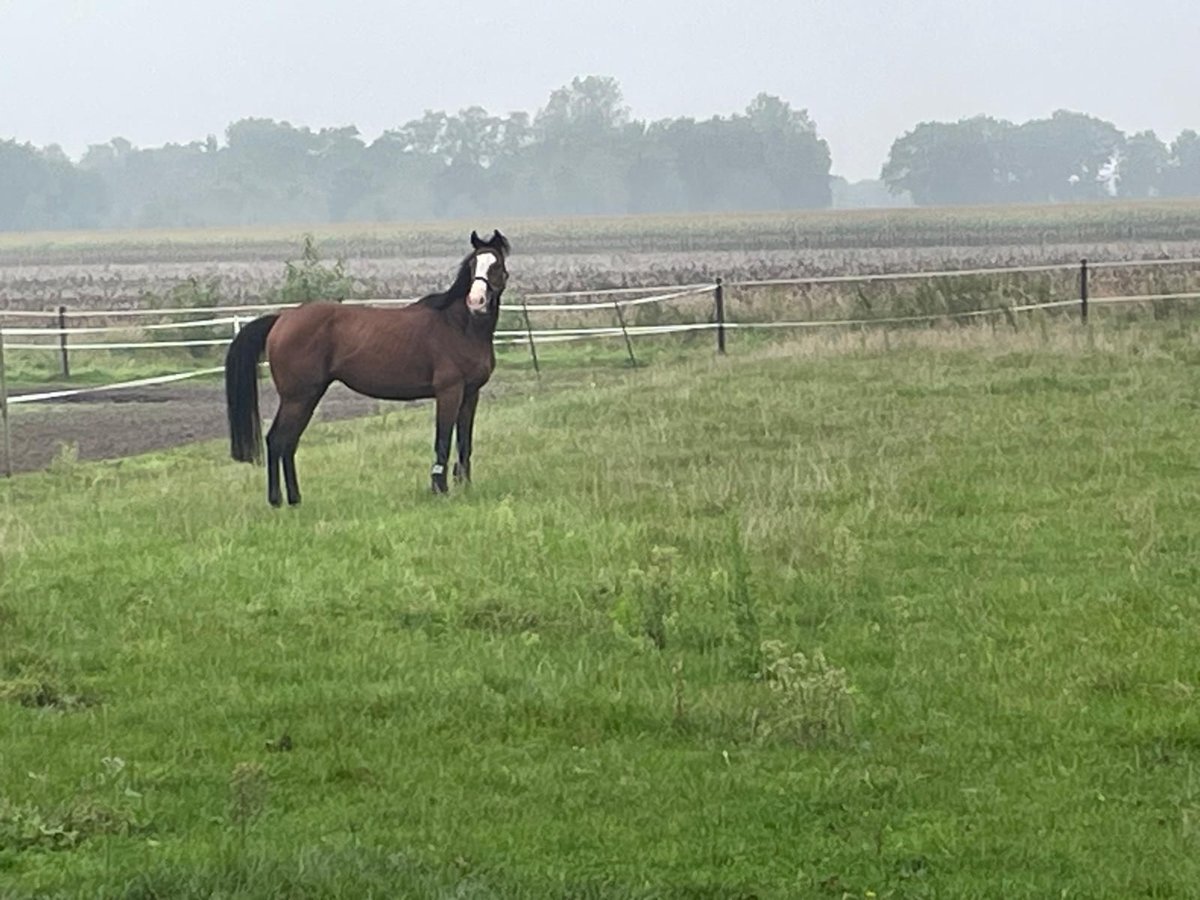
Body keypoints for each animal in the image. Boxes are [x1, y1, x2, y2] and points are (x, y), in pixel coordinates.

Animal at [225, 230, 511, 508]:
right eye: (473, 265)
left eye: (496, 264)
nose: (476, 301)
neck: (458, 326)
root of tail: (282, 318)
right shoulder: (449, 392)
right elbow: (442, 440)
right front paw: (439, 489)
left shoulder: (470, 393)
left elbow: (464, 442)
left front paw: (465, 486)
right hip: (297, 398)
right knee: (276, 440)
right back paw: (277, 501)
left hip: (307, 397)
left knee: (288, 442)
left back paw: (295, 499)